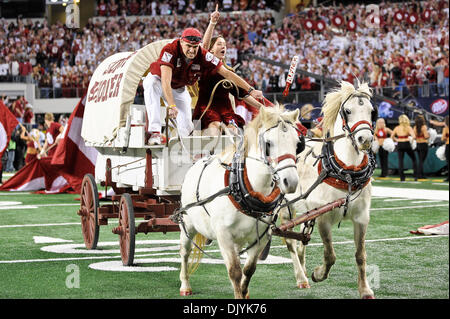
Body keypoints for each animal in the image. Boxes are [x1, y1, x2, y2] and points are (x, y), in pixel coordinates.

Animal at [174, 105, 300, 300]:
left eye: (297, 144)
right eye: (268, 143)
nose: (291, 182)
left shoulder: (261, 237)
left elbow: (248, 269)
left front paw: (244, 291)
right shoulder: (224, 235)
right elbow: (234, 271)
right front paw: (239, 294)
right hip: (187, 224)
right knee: (185, 252)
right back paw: (185, 285)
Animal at [280, 80, 378, 300]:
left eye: (371, 111)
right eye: (348, 111)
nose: (365, 139)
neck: (347, 173)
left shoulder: (362, 217)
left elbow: (361, 255)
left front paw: (365, 289)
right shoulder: (323, 217)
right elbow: (330, 254)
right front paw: (318, 274)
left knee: (301, 242)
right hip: (286, 207)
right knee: (290, 240)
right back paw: (302, 278)